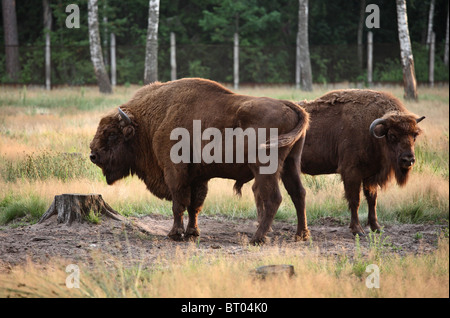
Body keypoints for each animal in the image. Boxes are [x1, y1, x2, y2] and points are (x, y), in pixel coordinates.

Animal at [90, 79, 312, 243]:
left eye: (112, 134)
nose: (93, 155)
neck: (152, 121)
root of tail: (289, 105)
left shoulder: (174, 172)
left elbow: (179, 202)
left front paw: (175, 234)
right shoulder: (197, 177)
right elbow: (194, 204)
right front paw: (192, 233)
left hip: (265, 168)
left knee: (273, 198)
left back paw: (257, 238)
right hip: (291, 163)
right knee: (298, 193)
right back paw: (301, 235)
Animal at [298, 89, 426, 236]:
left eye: (414, 135)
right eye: (392, 135)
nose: (408, 160)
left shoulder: (370, 176)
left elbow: (372, 200)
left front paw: (377, 228)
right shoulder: (351, 173)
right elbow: (355, 200)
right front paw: (357, 230)